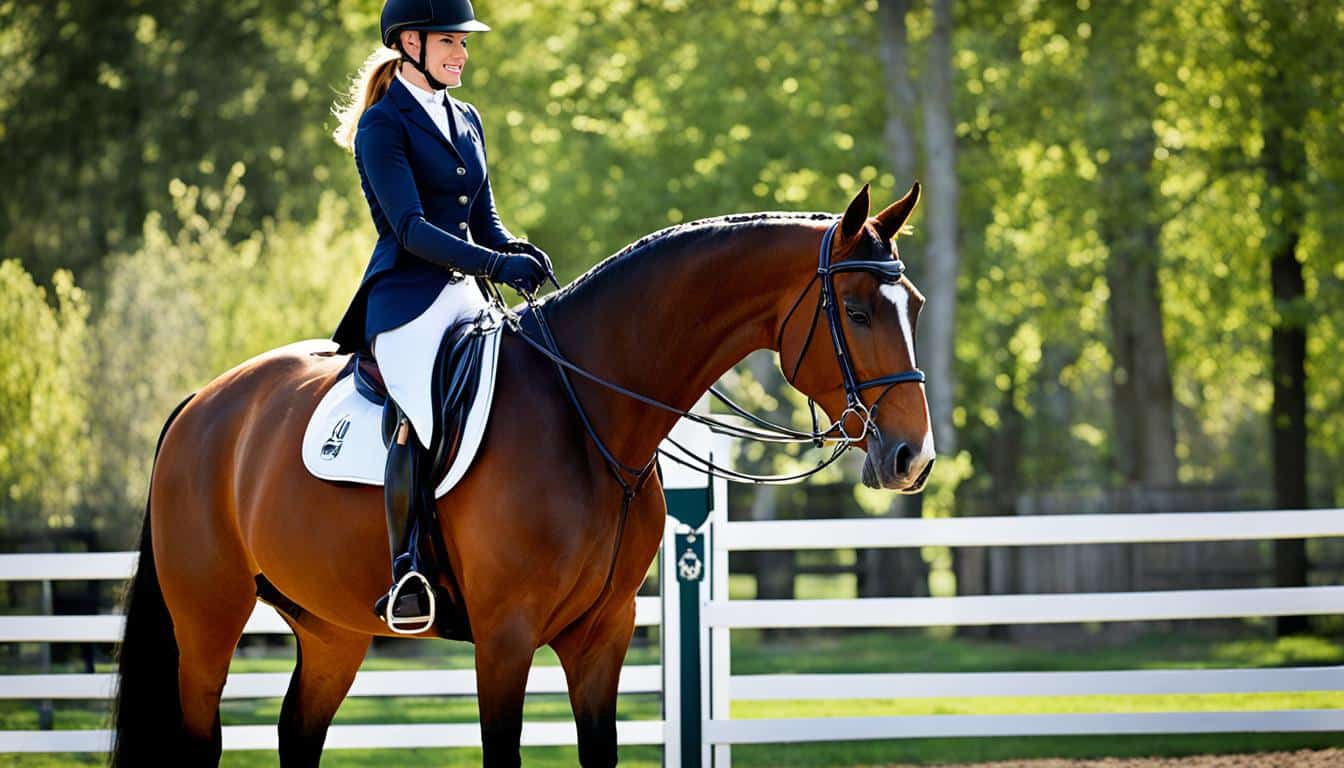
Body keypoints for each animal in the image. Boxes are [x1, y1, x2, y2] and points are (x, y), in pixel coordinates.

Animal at [107, 181, 935, 768]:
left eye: (916, 305)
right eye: (858, 310)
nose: (912, 458)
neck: (590, 410)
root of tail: (203, 403)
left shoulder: (601, 637)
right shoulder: (504, 640)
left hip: (331, 630)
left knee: (297, 735)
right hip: (207, 624)